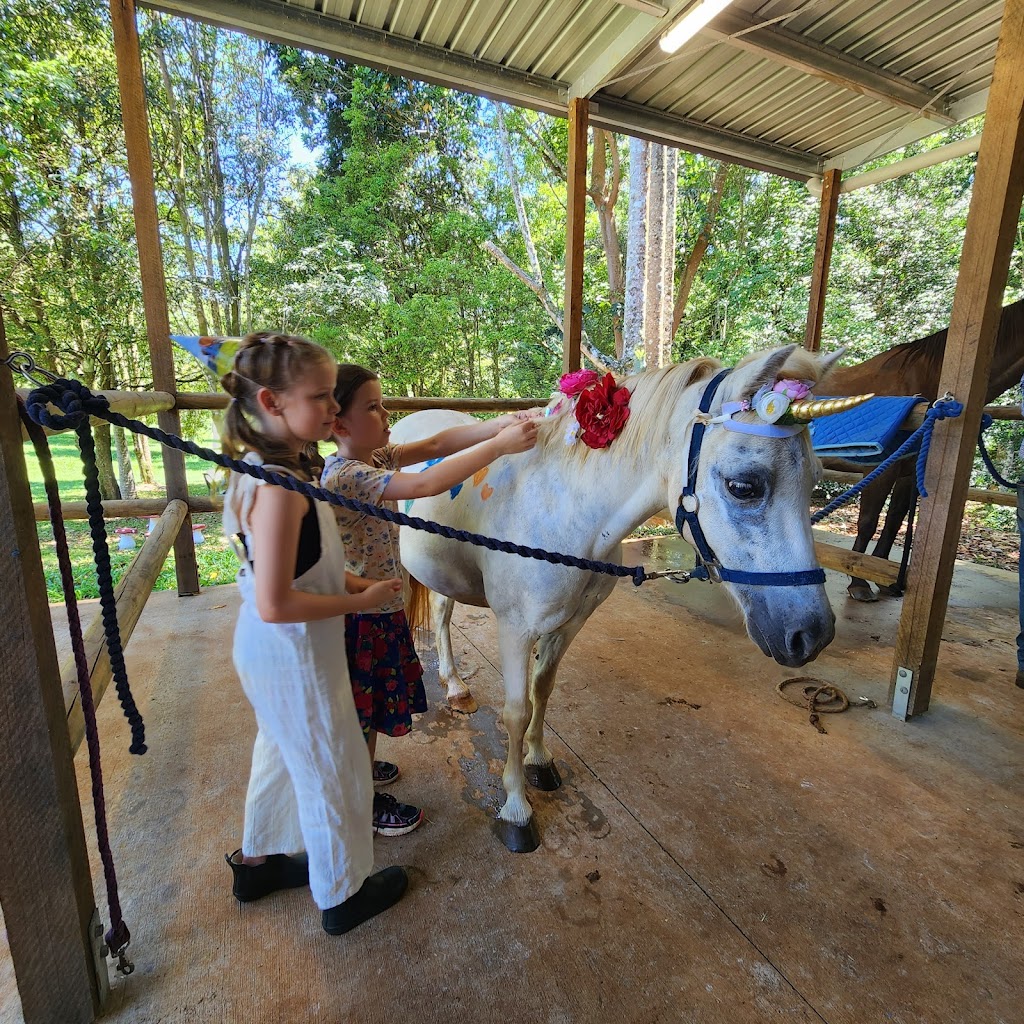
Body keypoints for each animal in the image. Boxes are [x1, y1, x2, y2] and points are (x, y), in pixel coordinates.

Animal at [390, 345, 843, 852]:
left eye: (815, 480)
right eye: (743, 486)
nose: (812, 634)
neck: (563, 513)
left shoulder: (571, 624)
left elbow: (542, 690)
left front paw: (539, 761)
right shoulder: (516, 629)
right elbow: (515, 710)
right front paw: (516, 808)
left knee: (442, 610)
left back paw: (455, 686)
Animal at [822, 297, 1024, 601]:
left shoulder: (908, 472)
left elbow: (894, 521)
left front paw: (885, 579)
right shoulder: (881, 470)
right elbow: (868, 522)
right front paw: (858, 582)